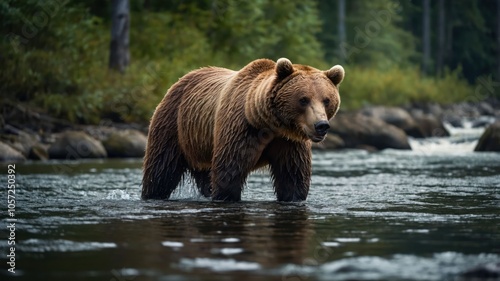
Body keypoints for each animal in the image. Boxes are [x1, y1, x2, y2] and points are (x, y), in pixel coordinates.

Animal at [141, 57, 344, 201]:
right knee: (161, 170)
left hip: (201, 142)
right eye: (303, 99)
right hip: (174, 124)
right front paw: (227, 196)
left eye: (326, 100)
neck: (268, 124)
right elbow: (229, 170)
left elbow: (292, 176)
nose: (321, 125)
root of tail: (181, 79)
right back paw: (152, 194)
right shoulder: (240, 129)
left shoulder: (288, 141)